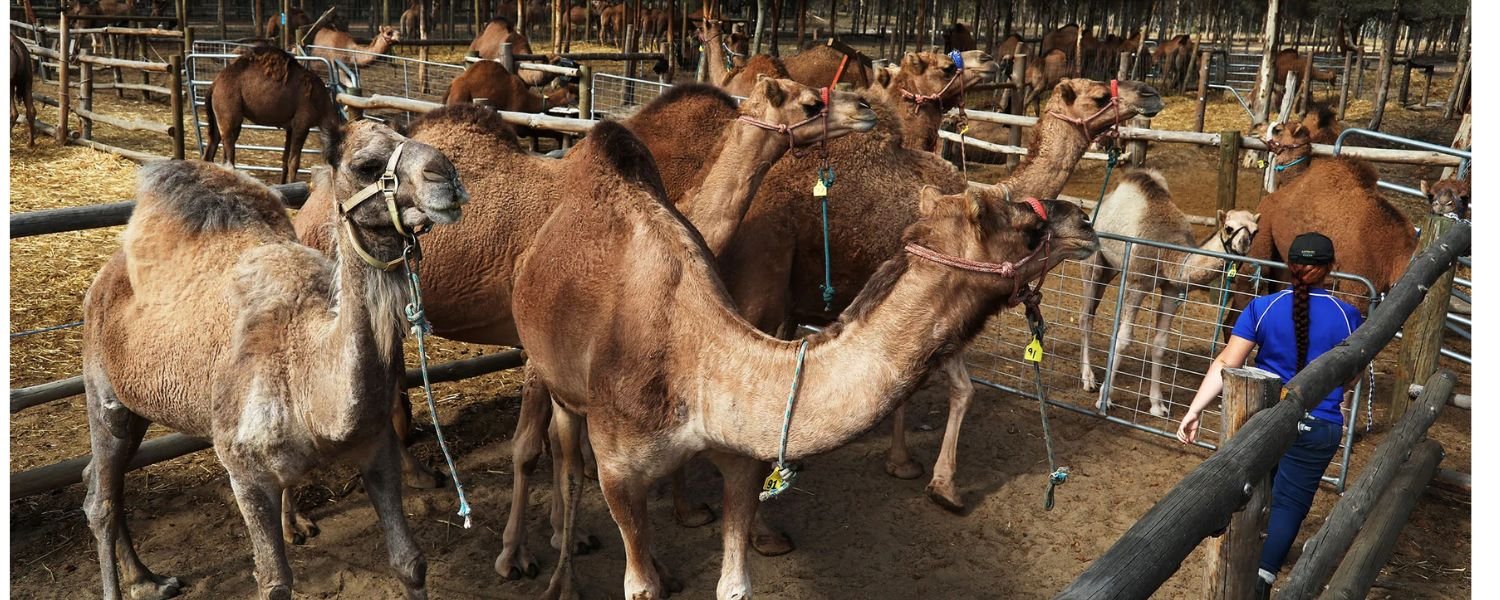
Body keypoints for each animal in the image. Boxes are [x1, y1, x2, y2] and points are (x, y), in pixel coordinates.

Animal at [81, 120, 466, 600]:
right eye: (366, 165)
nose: (446, 174)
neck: (312, 383)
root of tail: (104, 278)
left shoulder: (376, 447)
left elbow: (409, 561)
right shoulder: (245, 474)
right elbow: (274, 583)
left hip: (135, 408)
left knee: (101, 482)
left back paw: (147, 577)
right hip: (104, 394)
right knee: (100, 499)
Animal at [202, 46, 344, 184]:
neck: (322, 103)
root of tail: (214, 85)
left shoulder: (290, 128)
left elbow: (285, 159)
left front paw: (283, 185)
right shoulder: (302, 124)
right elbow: (294, 162)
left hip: (218, 117)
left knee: (211, 149)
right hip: (229, 114)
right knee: (229, 154)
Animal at [511, 118, 1097, 599]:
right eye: (1029, 228)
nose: (1086, 222)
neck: (695, 369)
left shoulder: (742, 457)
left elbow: (734, 584)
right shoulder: (619, 469)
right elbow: (638, 585)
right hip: (561, 385)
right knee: (568, 461)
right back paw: (560, 576)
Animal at [1078, 170, 1261, 417]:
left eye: (1255, 231)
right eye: (1229, 228)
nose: (1243, 245)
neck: (1169, 254)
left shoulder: (1172, 290)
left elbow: (1160, 344)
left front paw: (1158, 405)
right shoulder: (1138, 282)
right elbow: (1124, 340)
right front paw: (1104, 400)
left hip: (1111, 269)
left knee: (1093, 311)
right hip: (1094, 263)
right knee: (1085, 316)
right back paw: (1088, 379)